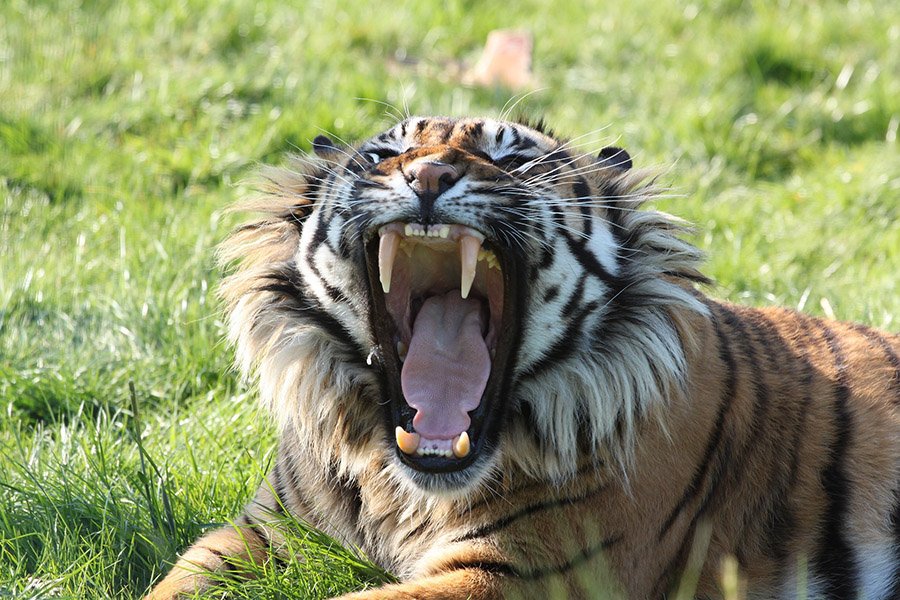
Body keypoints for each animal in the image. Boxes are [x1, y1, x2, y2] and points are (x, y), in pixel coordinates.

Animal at [146, 116, 900, 599]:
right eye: (379, 156)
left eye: (514, 161)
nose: (428, 174)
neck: (400, 489)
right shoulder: (262, 529)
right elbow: (174, 582)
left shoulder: (520, 571)